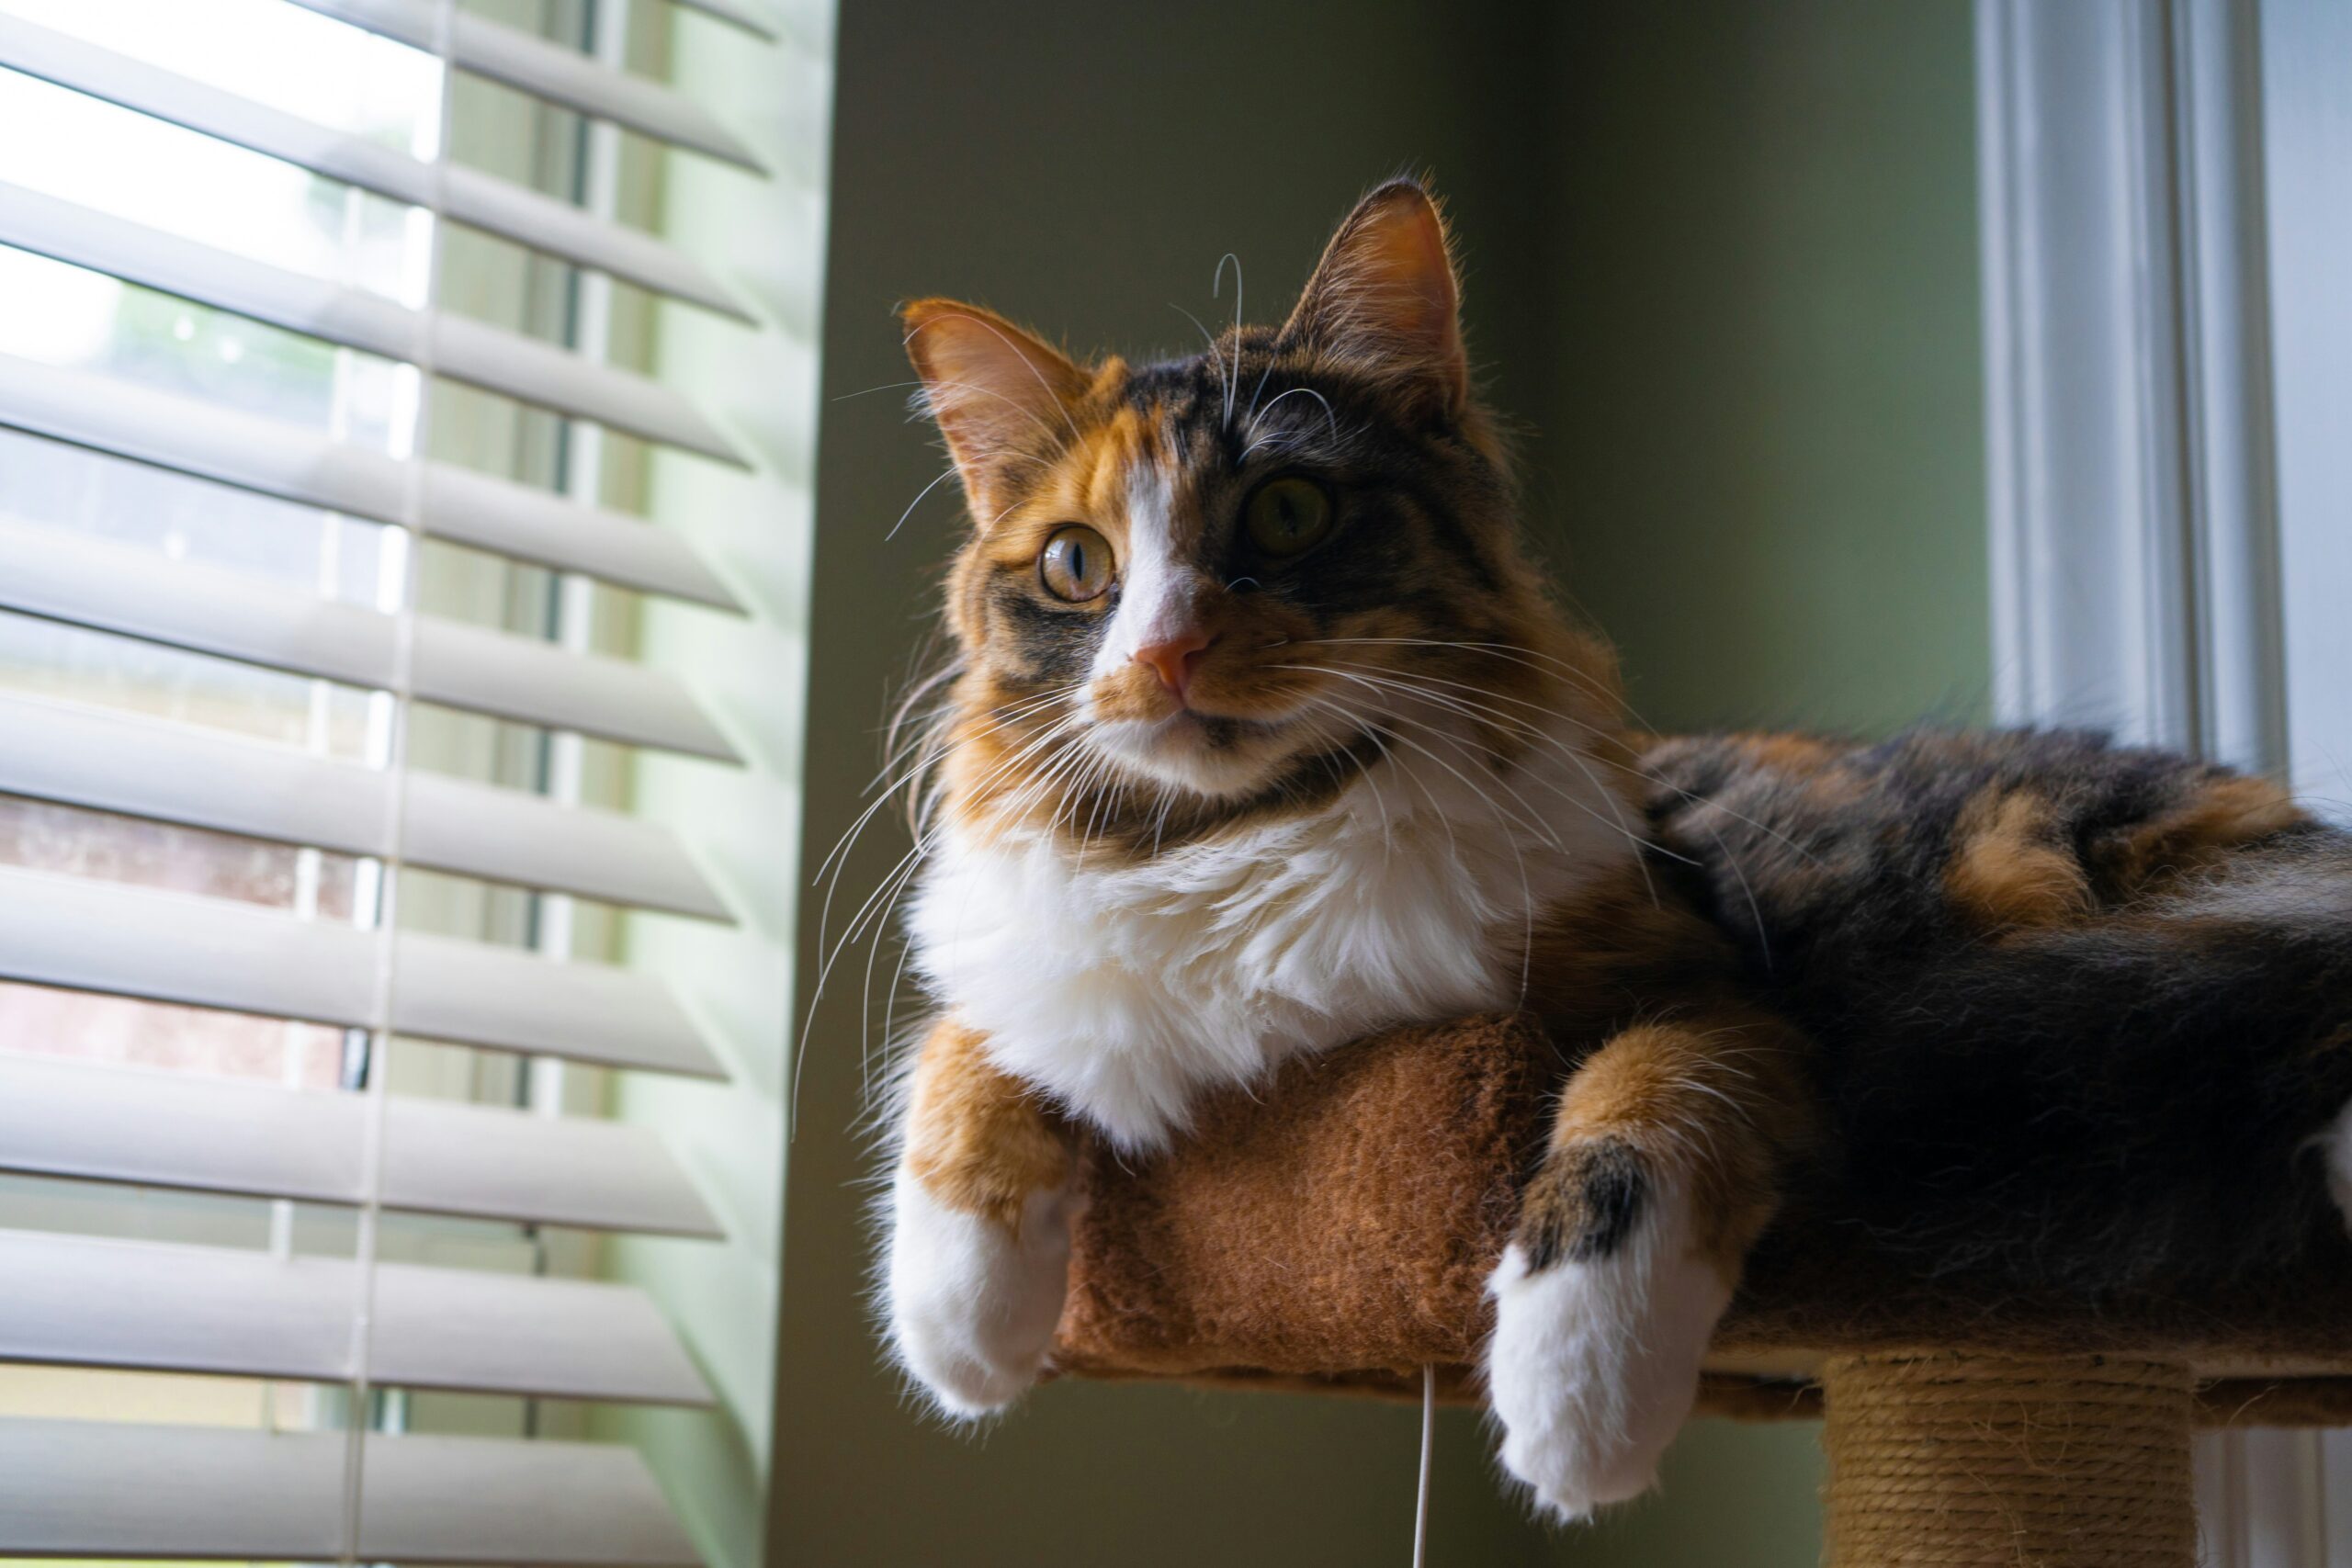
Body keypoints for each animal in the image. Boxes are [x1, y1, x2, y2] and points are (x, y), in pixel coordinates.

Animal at [870, 181, 2352, 1523]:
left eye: (1287, 512)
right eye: (1075, 565)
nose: (1164, 656)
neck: (1247, 837)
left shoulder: (1714, 985)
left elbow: (1637, 1099)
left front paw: (1578, 1393)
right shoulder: (1037, 976)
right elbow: (962, 1044)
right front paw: (963, 1317)